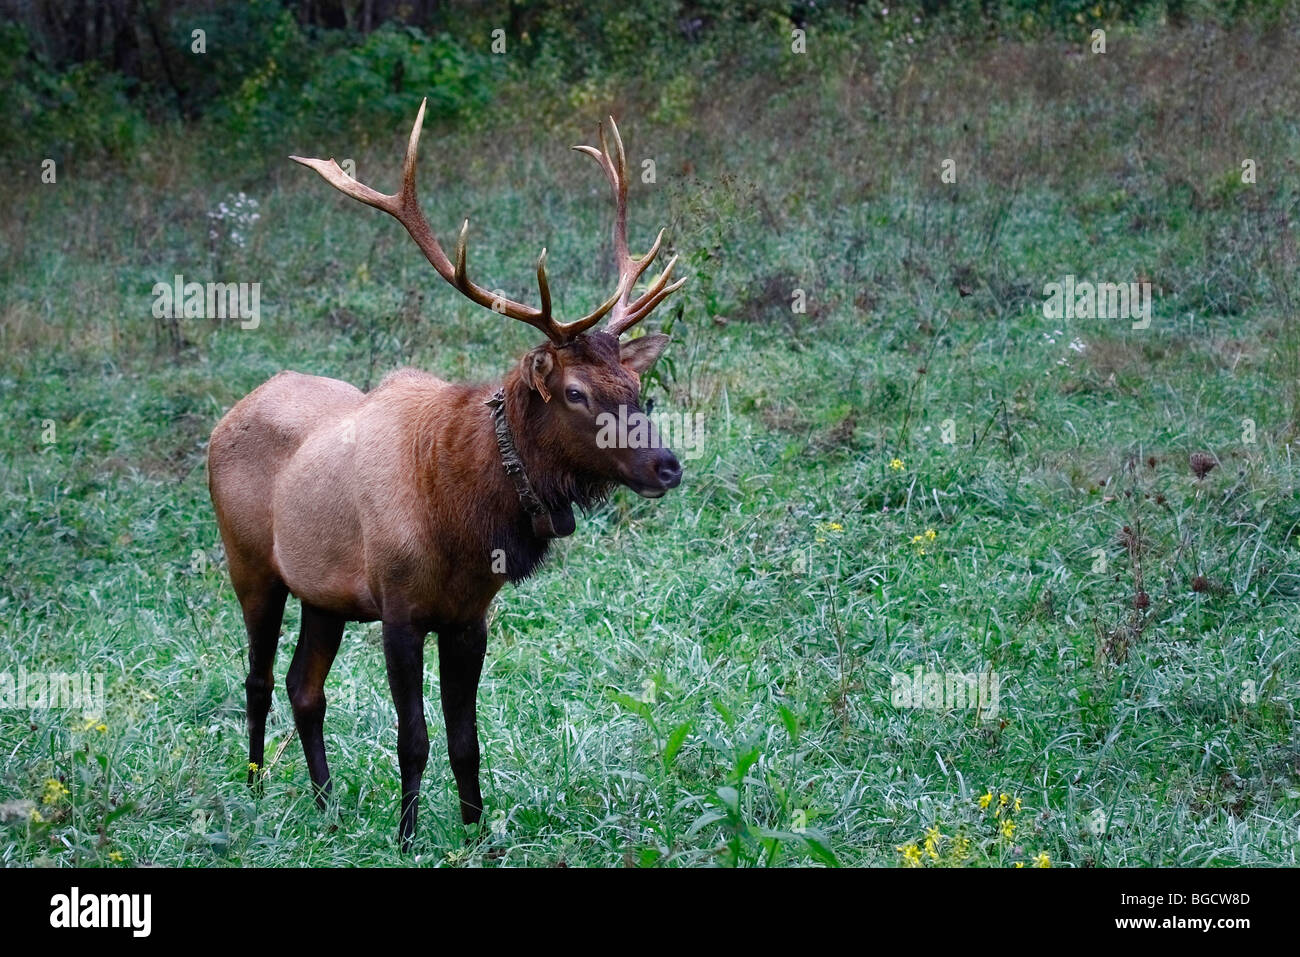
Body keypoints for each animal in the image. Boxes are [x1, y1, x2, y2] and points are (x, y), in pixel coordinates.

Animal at [208, 100, 686, 847]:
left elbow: (467, 741)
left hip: (324, 594)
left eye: (635, 387)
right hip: (252, 564)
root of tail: (227, 415)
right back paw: (257, 788)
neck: (462, 519)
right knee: (257, 678)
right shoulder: (400, 610)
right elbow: (414, 739)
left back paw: (326, 804)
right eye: (576, 392)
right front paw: (406, 840)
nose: (667, 465)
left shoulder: (470, 618)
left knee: (302, 686)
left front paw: (475, 834)